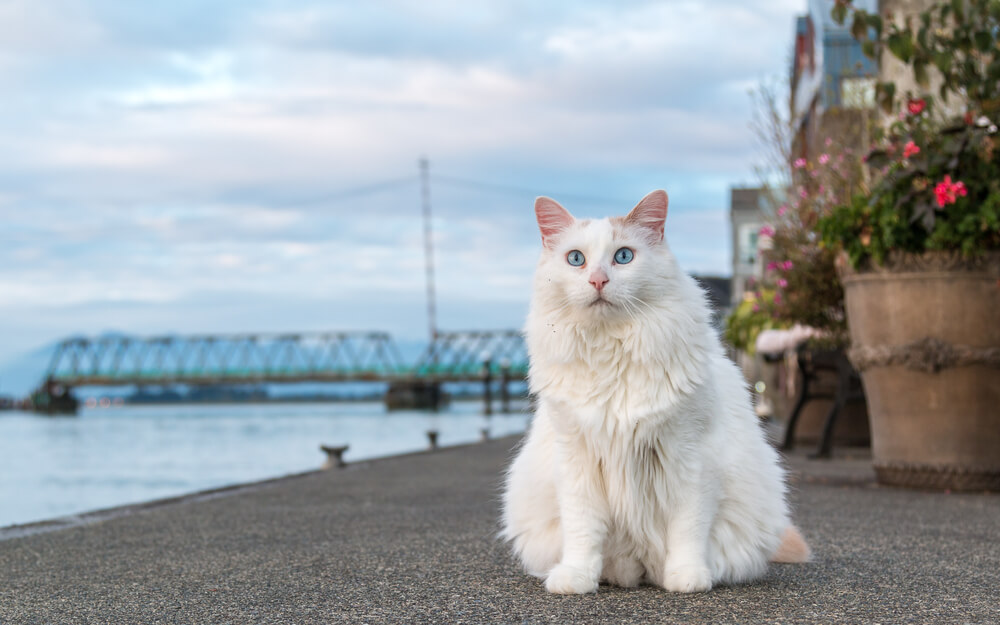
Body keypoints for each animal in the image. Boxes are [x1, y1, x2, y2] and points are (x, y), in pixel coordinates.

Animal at [504, 190, 808, 596]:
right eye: (576, 259)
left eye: (623, 256)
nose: (598, 280)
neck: (611, 351)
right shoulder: (576, 460)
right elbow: (583, 531)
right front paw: (576, 578)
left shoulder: (690, 457)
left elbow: (687, 529)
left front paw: (687, 577)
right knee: (622, 562)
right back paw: (620, 572)